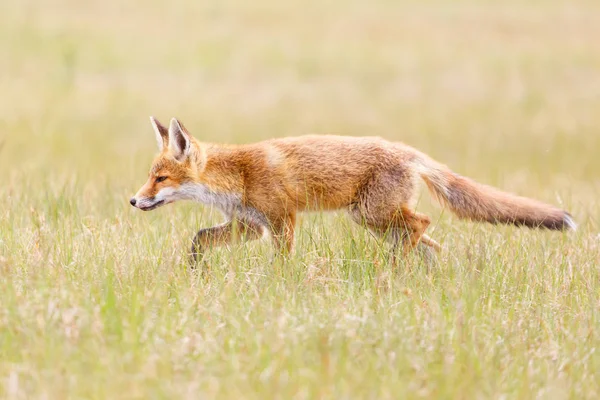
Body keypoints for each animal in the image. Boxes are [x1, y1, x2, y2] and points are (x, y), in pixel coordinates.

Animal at [131, 117, 576, 264]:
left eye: (160, 179)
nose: (134, 200)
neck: (237, 175)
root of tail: (408, 151)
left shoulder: (282, 220)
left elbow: (282, 261)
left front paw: (279, 284)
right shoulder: (249, 225)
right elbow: (199, 239)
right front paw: (194, 272)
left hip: (370, 214)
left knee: (422, 224)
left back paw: (393, 269)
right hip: (375, 220)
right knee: (432, 244)